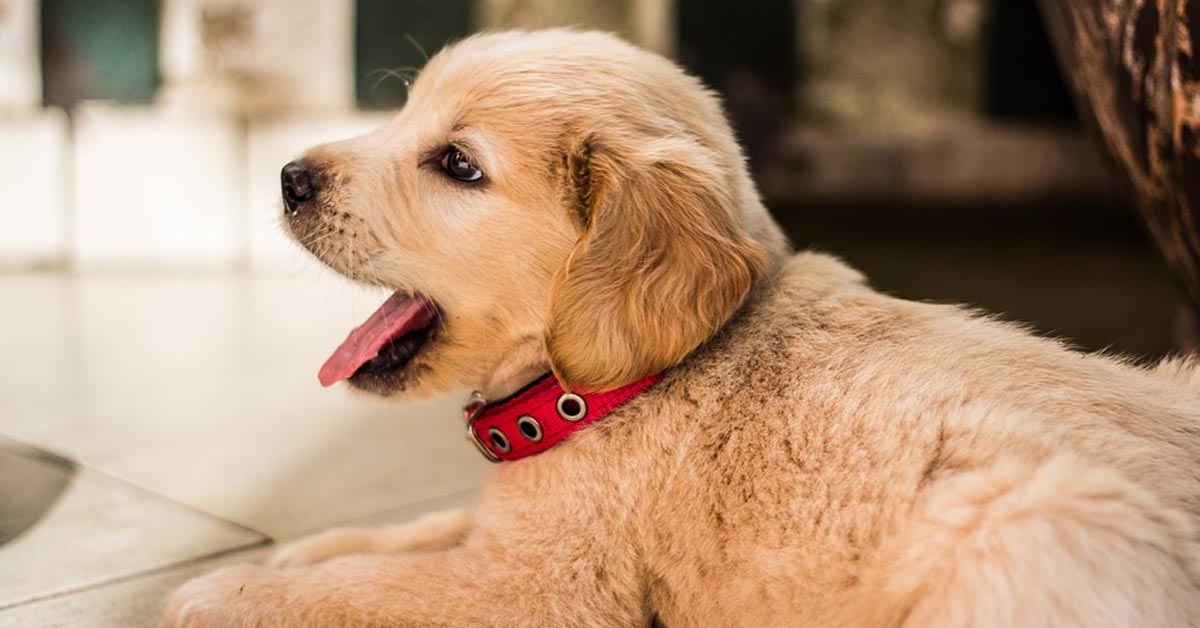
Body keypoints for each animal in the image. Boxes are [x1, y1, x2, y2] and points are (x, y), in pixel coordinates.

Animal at [164, 29, 1200, 628]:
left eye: (456, 164)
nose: (289, 176)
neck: (612, 388)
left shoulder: (539, 586)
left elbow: (362, 592)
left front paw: (222, 593)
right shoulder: (512, 533)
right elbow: (409, 535)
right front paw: (306, 548)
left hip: (1022, 521)